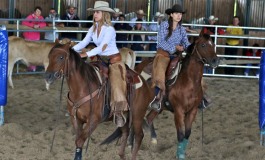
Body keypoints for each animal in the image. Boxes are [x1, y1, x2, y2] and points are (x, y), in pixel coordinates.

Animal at [136, 31, 219, 159]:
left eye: (213, 44)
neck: (189, 82)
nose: (215, 61)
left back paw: (153, 141)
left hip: (158, 107)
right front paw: (179, 155)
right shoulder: (179, 111)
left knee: (148, 119)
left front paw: (182, 153)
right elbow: (180, 134)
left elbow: (187, 134)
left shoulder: (192, 110)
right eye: (203, 45)